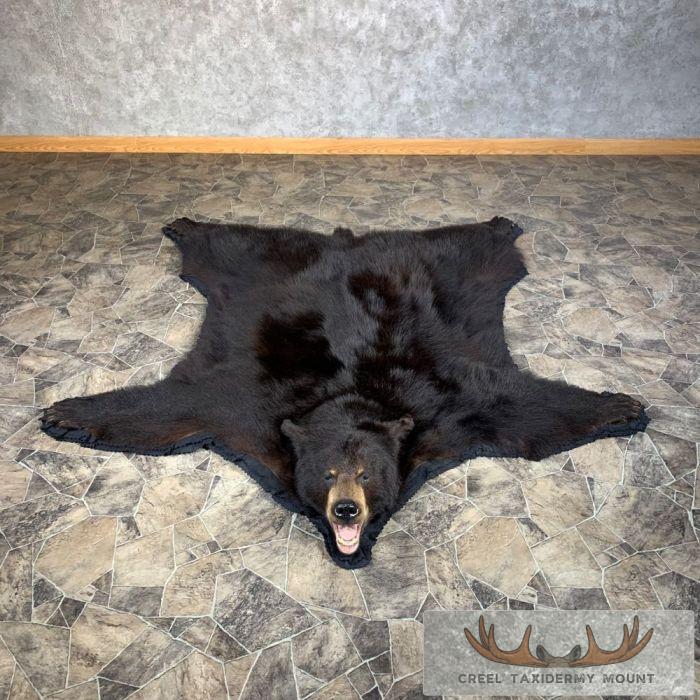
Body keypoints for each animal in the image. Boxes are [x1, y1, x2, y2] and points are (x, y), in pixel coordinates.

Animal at [42, 216, 648, 568]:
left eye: (368, 472)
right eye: (329, 473)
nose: (347, 511)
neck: (350, 395)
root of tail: (351, 244)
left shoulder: (450, 404)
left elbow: (524, 409)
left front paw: (622, 407)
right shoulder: (245, 403)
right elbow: (173, 407)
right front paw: (66, 414)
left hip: (456, 267)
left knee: (472, 245)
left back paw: (498, 223)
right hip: (254, 265)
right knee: (228, 244)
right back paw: (186, 224)